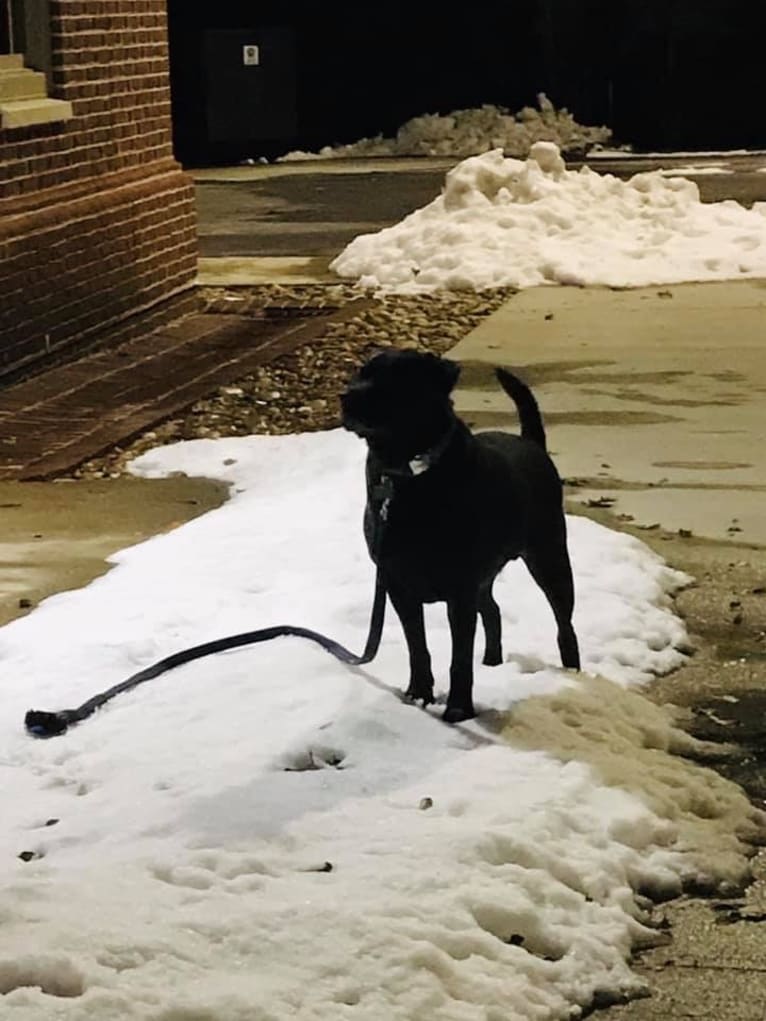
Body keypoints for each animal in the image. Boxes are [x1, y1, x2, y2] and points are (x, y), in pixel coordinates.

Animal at [341, 351, 580, 726]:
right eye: (360, 373)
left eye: (397, 377)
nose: (347, 397)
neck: (408, 477)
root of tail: (531, 442)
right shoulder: (398, 583)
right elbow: (417, 647)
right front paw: (418, 694)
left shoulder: (459, 588)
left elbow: (459, 658)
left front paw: (458, 709)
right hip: (486, 574)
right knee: (493, 609)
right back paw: (493, 661)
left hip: (549, 556)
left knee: (564, 624)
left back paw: (573, 673)